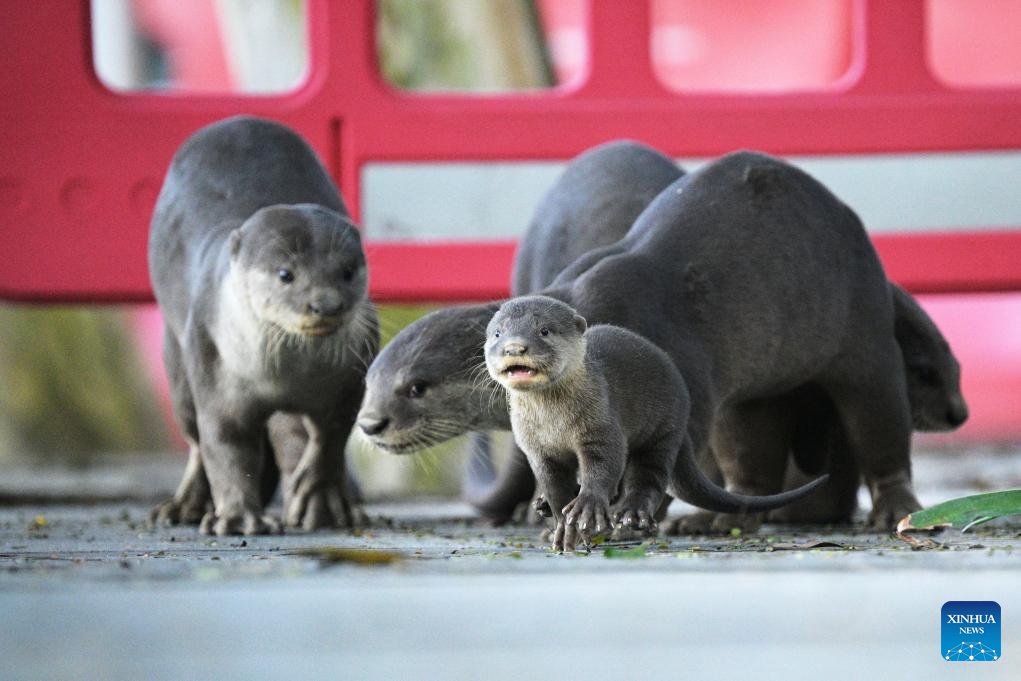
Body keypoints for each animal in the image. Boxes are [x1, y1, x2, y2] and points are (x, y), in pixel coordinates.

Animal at [149, 116, 378, 535]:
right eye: (285, 274)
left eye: (348, 271)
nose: (326, 304)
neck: (282, 378)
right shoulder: (213, 367)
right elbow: (224, 444)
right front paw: (239, 517)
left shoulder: (348, 381)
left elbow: (331, 438)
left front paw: (314, 492)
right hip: (177, 362)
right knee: (194, 440)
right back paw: (184, 506)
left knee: (292, 434)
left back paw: (331, 506)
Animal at [484, 296, 826, 550]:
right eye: (498, 333)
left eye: (544, 330)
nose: (515, 347)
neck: (554, 424)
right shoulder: (537, 448)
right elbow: (554, 485)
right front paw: (559, 521)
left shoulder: (602, 427)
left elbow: (604, 466)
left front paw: (586, 508)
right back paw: (545, 505)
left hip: (663, 429)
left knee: (649, 476)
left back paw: (631, 514)